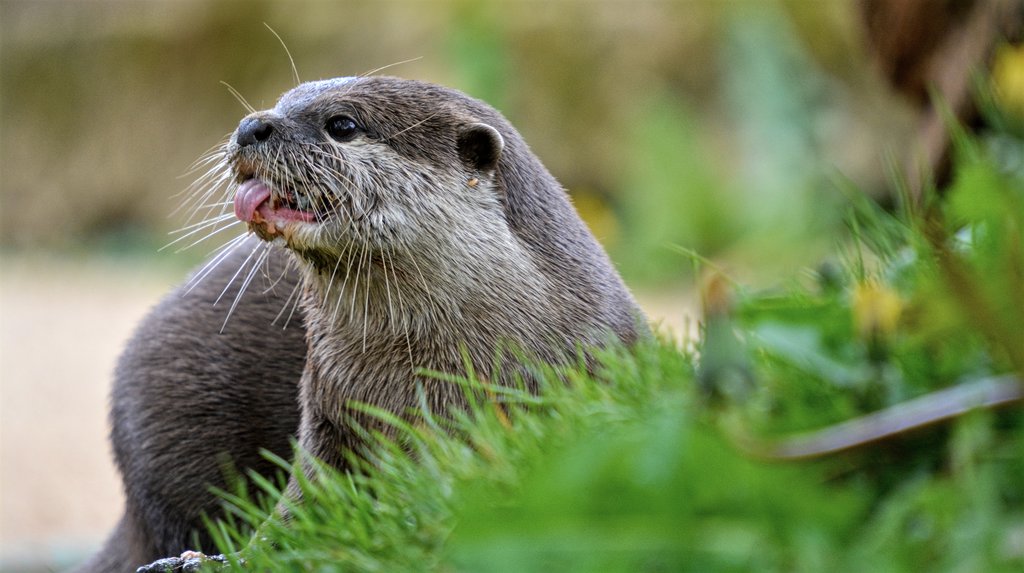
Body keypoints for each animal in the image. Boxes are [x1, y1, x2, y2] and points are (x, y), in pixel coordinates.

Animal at [71, 76, 646, 573]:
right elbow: (301, 506)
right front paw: (219, 562)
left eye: (342, 125)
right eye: (283, 101)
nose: (252, 125)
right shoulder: (326, 410)